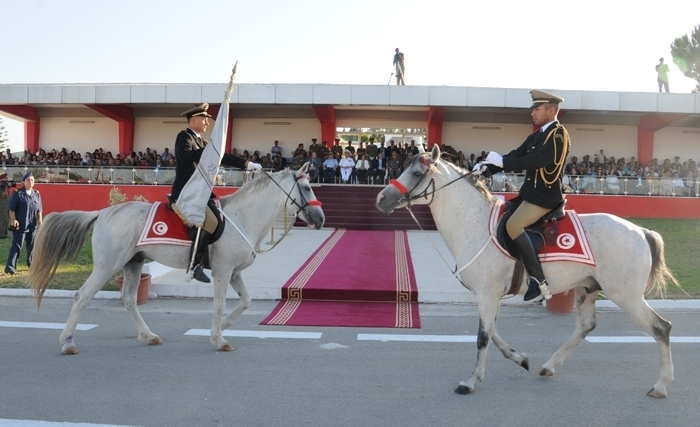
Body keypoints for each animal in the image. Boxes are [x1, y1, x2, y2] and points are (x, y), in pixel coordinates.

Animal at [26, 166, 322, 356]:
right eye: (307, 187)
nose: (320, 220)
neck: (241, 217)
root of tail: (102, 213)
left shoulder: (235, 272)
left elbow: (246, 301)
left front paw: (225, 326)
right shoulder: (223, 271)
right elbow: (219, 304)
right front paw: (218, 338)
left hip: (133, 263)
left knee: (129, 299)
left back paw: (148, 335)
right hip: (107, 266)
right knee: (82, 296)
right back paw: (68, 342)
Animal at [374, 146, 680, 398]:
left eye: (416, 172)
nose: (381, 198)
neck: (475, 222)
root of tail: (640, 231)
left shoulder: (487, 294)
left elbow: (483, 336)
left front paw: (471, 381)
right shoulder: (491, 295)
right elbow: (493, 332)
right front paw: (518, 357)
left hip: (625, 295)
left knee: (661, 327)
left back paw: (661, 384)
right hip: (587, 288)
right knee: (585, 326)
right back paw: (549, 366)